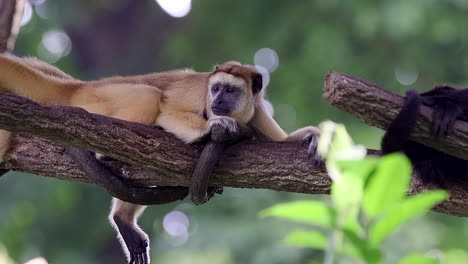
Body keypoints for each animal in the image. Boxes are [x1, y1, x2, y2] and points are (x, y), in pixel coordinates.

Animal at [0, 54, 320, 262]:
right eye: (215, 88)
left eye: (230, 90)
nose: (217, 101)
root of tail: (80, 87)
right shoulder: (197, 91)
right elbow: (169, 110)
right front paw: (215, 127)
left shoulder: (257, 110)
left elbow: (280, 143)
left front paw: (313, 137)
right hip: (99, 100)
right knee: (150, 96)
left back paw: (123, 218)